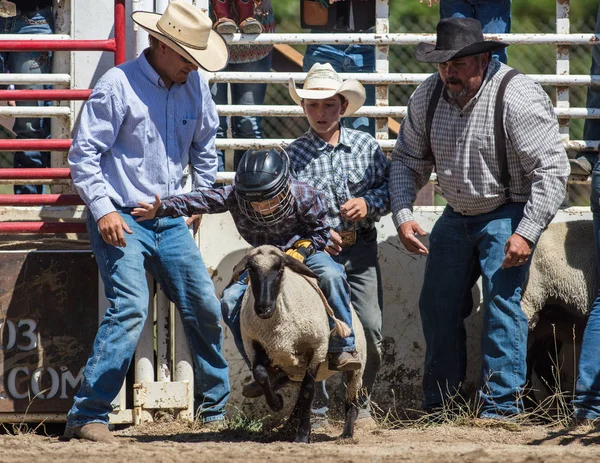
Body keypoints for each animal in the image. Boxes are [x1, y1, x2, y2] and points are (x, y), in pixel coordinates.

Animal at [239, 245, 366, 444]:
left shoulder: (317, 350)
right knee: (286, 384)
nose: (263, 308)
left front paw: (303, 434)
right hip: (292, 368)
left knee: (351, 400)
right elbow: (261, 374)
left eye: (280, 269)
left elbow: (308, 391)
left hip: (357, 366)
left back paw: (346, 434)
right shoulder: (254, 344)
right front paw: (277, 403)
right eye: (251, 269)